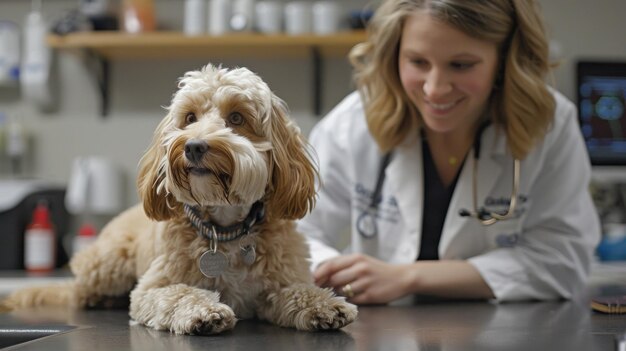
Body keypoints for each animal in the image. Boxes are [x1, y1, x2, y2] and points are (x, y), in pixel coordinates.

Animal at [2, 64, 356, 336]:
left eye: (237, 118)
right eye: (189, 117)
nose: (194, 146)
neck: (224, 229)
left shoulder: (278, 283)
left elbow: (297, 292)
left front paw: (325, 303)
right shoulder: (151, 289)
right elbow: (179, 293)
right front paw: (203, 311)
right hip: (107, 261)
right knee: (76, 292)